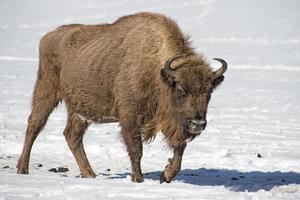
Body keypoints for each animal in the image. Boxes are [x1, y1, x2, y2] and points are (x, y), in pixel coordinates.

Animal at [17, 12, 227, 183]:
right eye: (181, 91)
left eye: (209, 93)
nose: (198, 124)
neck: (158, 71)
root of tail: (48, 36)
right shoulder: (130, 117)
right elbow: (136, 150)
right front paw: (138, 179)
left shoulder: (174, 125)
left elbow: (179, 149)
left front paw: (166, 175)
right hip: (47, 91)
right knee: (34, 125)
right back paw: (22, 169)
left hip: (78, 110)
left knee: (72, 136)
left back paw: (90, 174)